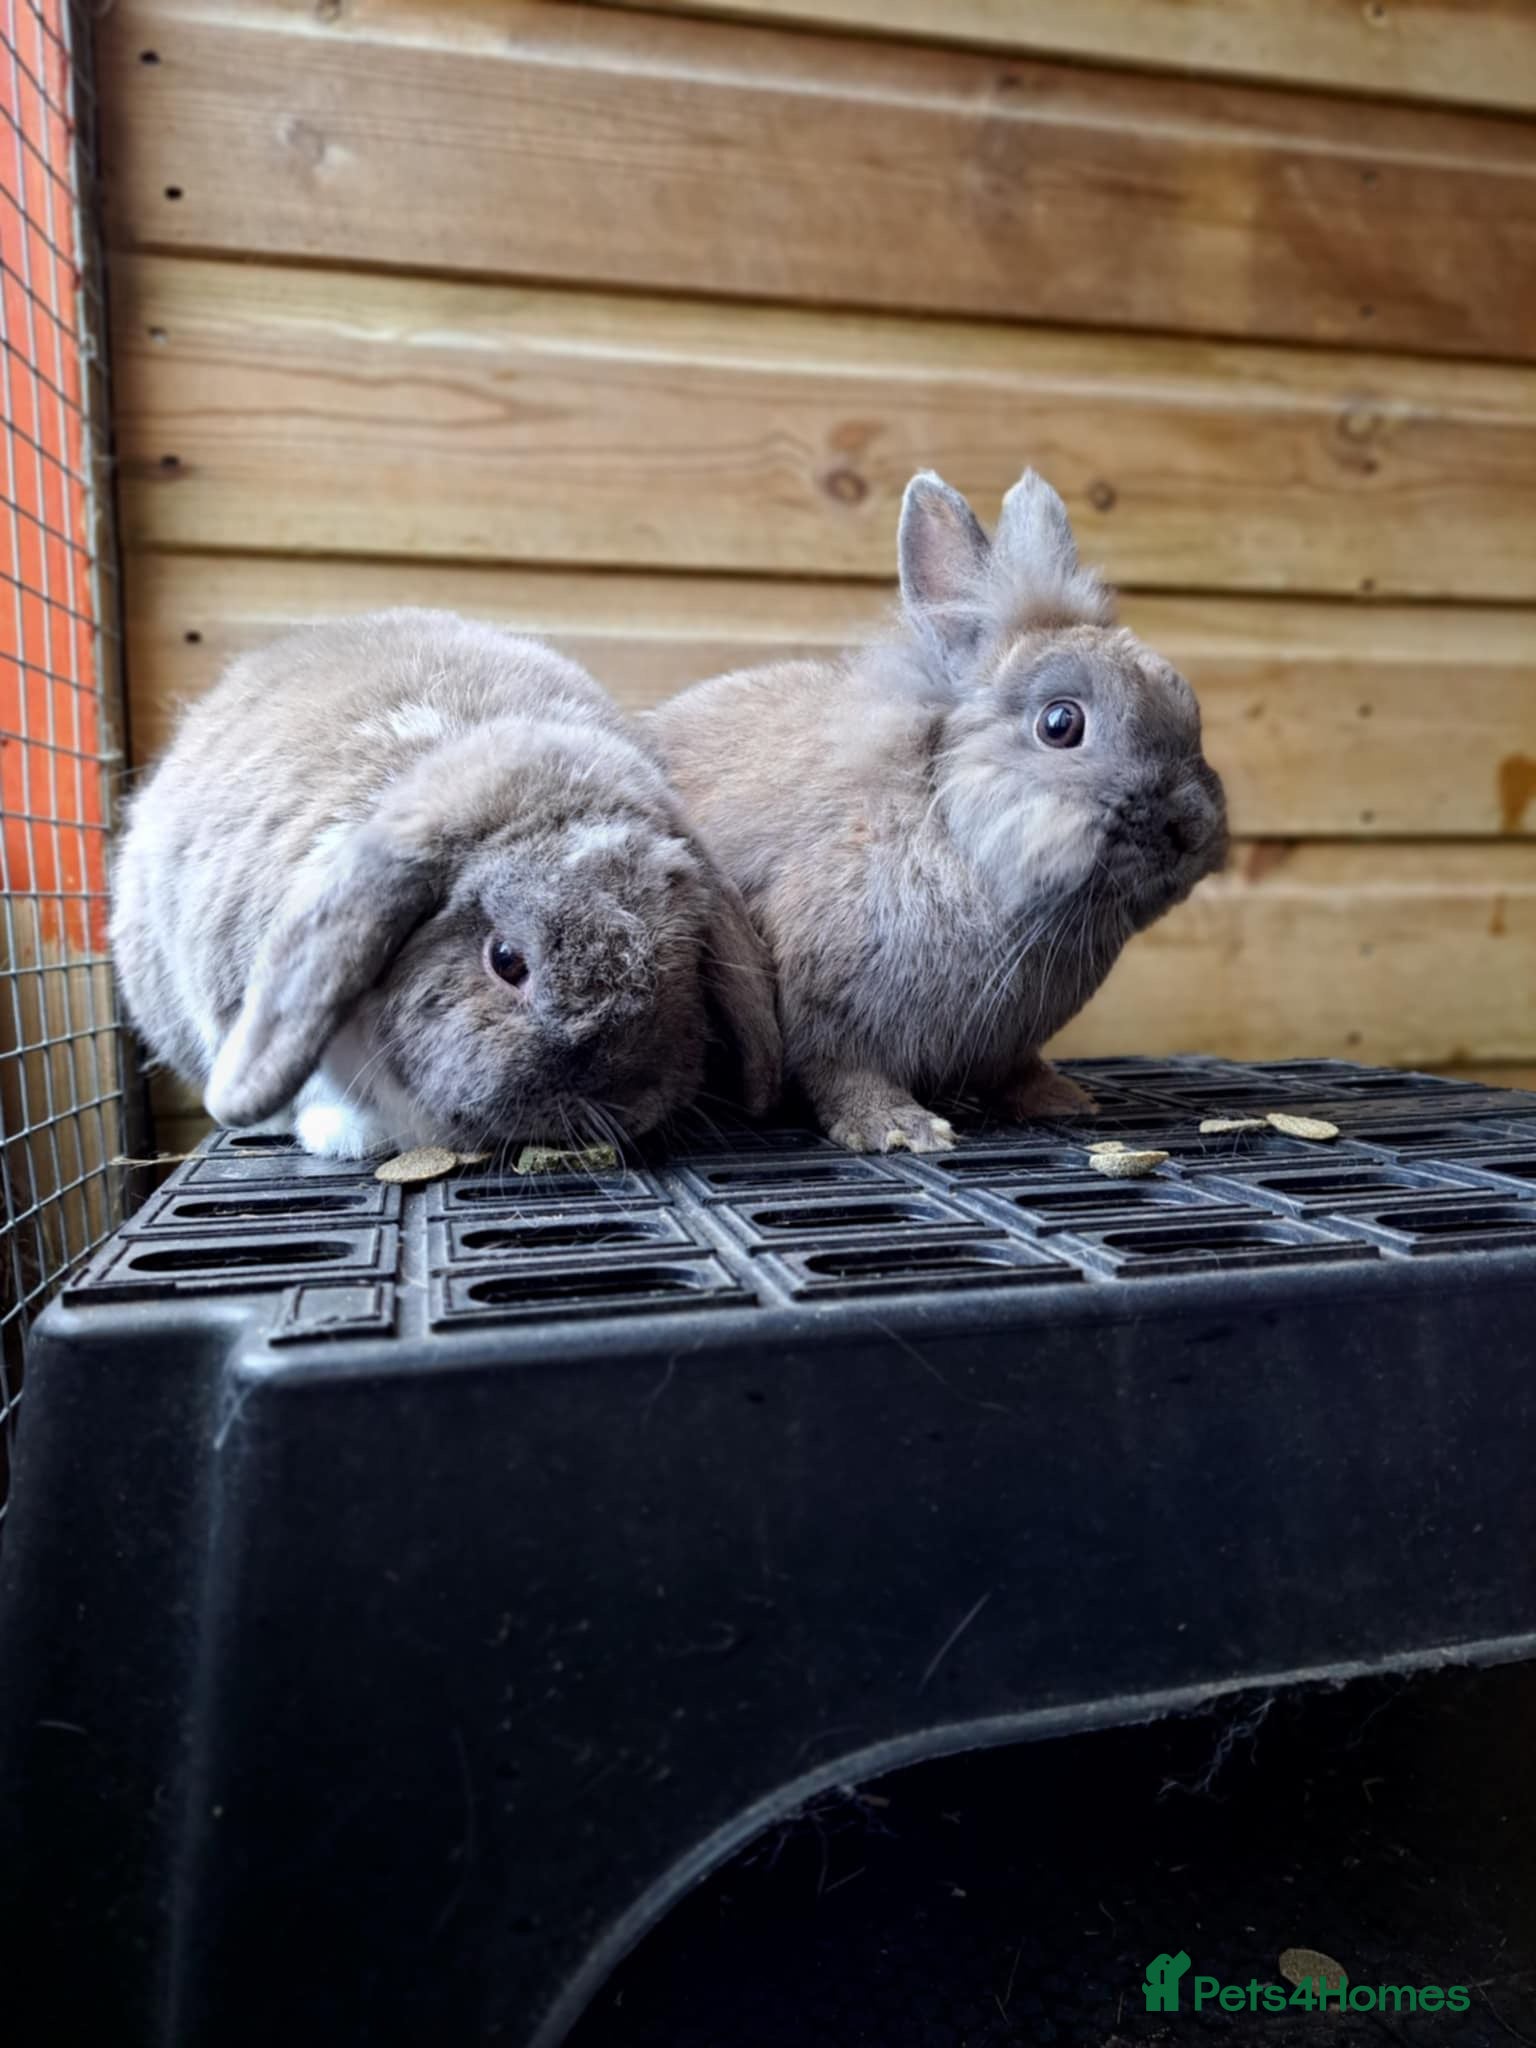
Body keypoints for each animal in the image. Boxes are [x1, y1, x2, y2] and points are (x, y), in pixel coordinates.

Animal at [649, 469, 1227, 1153]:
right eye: (1060, 723)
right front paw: (901, 1130)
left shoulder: (1009, 1042)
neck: (957, 839)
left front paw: (1064, 1101)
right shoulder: (824, 1014)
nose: (1192, 826)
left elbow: (1016, 1070)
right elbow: (843, 1072)